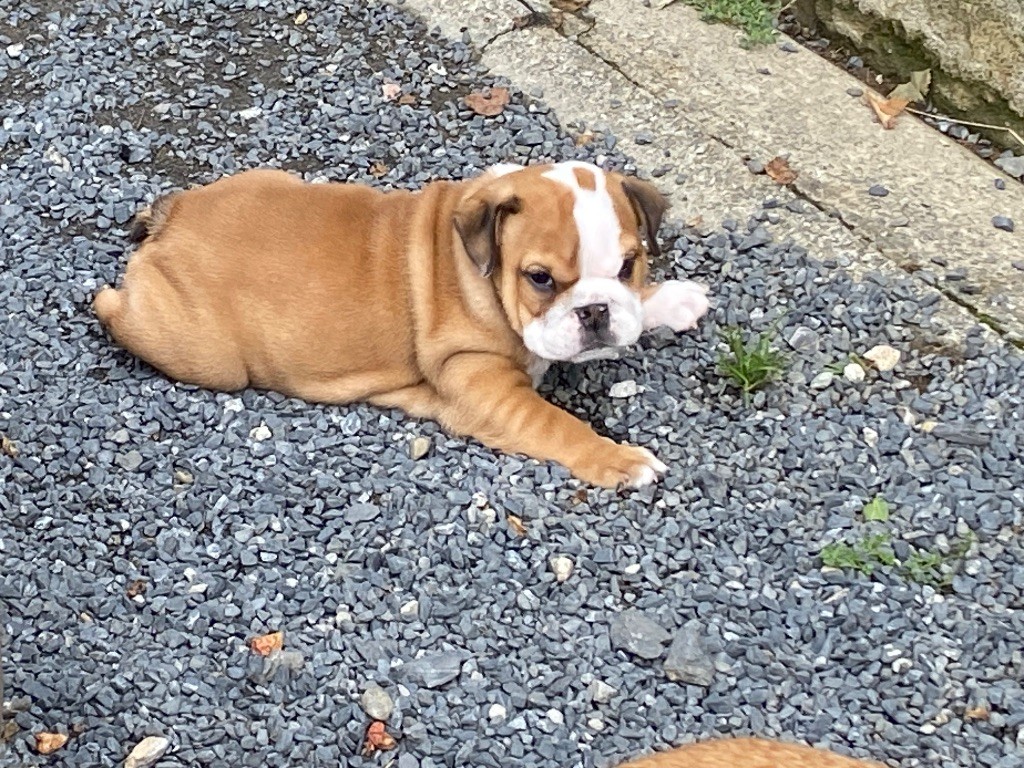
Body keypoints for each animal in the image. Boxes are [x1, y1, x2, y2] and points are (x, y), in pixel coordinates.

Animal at [93, 161, 710, 487]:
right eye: (539, 279)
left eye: (628, 266)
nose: (595, 311)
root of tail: (172, 219)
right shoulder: (478, 379)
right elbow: (557, 425)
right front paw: (620, 459)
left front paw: (674, 299)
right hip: (208, 356)